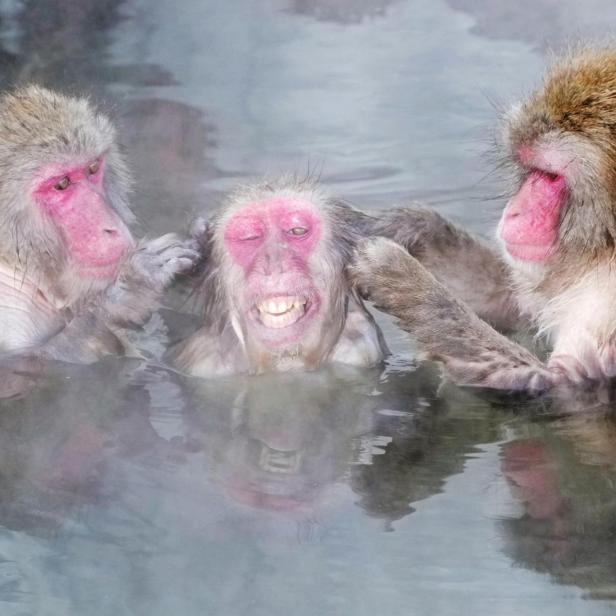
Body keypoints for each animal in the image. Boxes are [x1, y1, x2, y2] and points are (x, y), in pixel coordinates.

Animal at [352, 48, 616, 394]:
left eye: (551, 176)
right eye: (531, 169)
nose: (514, 211)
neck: (603, 254)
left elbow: (552, 381)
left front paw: (398, 276)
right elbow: (512, 302)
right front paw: (404, 225)